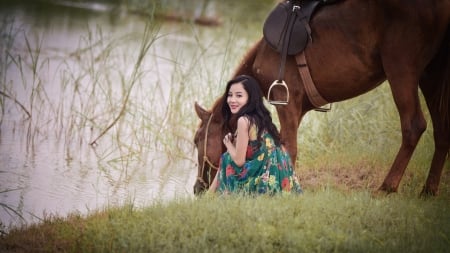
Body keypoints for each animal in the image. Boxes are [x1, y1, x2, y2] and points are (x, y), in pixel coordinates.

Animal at [192, 0, 450, 196]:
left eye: (196, 140)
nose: (197, 188)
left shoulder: (286, 101)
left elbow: (290, 147)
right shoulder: (297, 109)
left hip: (401, 68)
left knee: (413, 126)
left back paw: (387, 187)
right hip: (430, 74)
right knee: (441, 130)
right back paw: (428, 190)